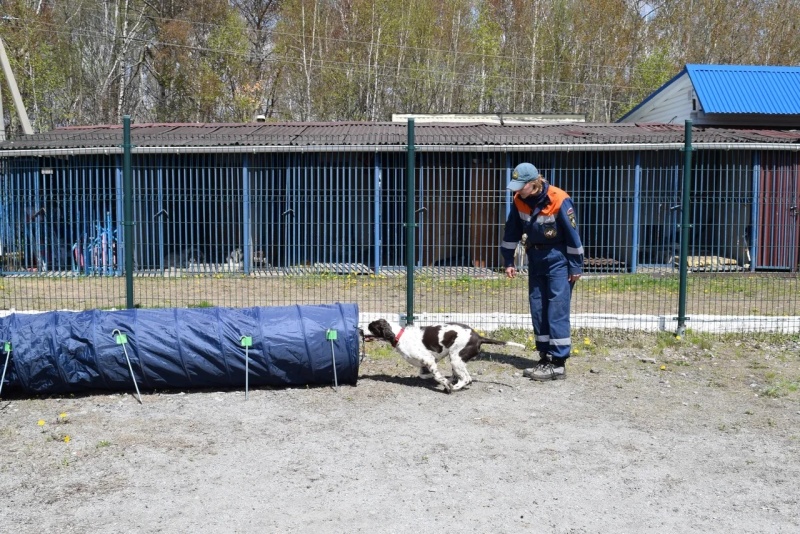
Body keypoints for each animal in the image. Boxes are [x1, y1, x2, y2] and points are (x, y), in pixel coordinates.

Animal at [368, 318, 524, 394]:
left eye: (371, 327)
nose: (362, 330)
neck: (400, 335)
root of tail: (478, 337)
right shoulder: (430, 361)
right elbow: (423, 375)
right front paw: (437, 379)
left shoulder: (429, 359)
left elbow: (438, 376)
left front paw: (445, 384)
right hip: (456, 359)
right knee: (462, 376)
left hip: (456, 358)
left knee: (467, 379)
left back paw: (454, 387)